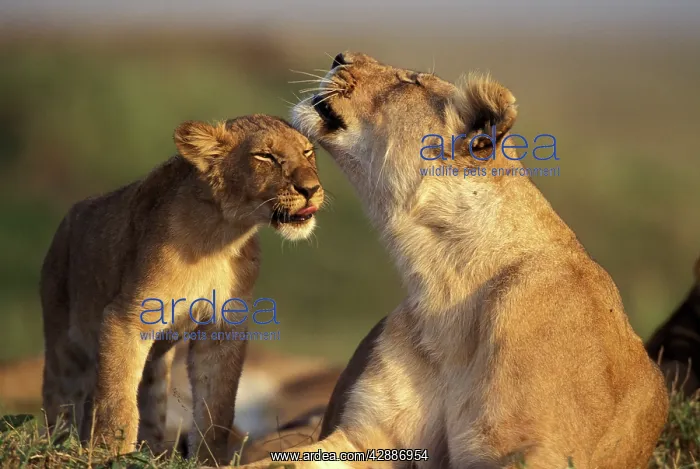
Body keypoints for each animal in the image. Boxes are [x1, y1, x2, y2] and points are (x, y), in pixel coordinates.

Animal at [39, 114, 324, 465]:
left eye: (308, 152)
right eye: (266, 156)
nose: (311, 189)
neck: (222, 237)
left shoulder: (222, 329)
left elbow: (217, 407)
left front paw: (208, 461)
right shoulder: (124, 319)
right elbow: (117, 398)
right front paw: (111, 454)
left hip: (157, 370)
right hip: (65, 346)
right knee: (60, 400)